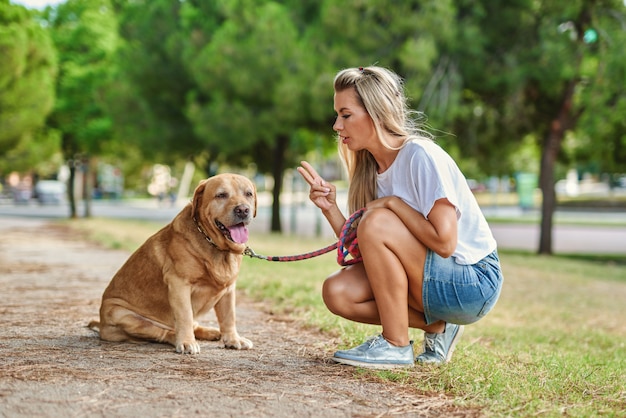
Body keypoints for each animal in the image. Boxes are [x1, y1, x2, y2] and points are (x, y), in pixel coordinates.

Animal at [86, 173, 255, 352]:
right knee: (165, 332)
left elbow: (229, 317)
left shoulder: (229, 290)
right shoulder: (179, 284)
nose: (243, 210)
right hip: (122, 314)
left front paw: (233, 339)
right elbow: (185, 316)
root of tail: (102, 325)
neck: (214, 244)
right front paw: (187, 341)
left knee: (193, 325)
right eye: (221, 195)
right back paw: (180, 337)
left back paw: (211, 332)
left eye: (248, 194)